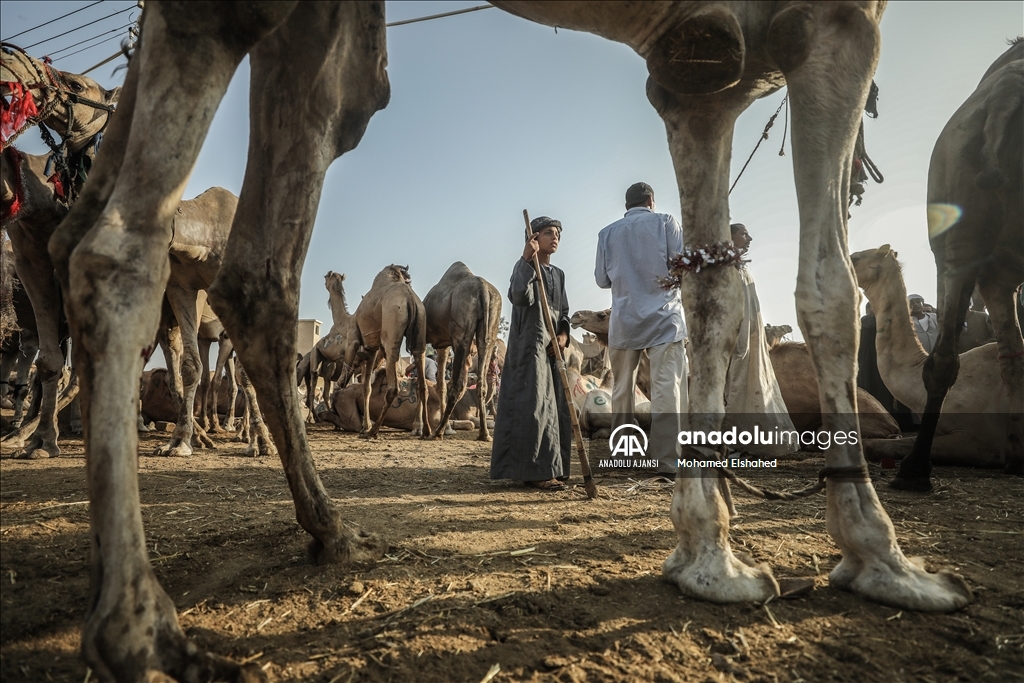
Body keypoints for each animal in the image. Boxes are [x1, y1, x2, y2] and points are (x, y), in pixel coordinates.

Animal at [423, 262, 499, 444]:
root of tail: (482, 288)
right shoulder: (443, 343)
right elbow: (440, 383)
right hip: (488, 332)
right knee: (480, 383)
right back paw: (484, 434)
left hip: (461, 334)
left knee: (456, 384)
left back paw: (438, 432)